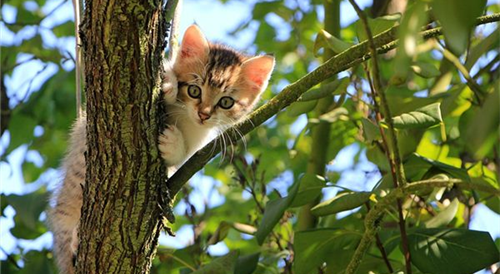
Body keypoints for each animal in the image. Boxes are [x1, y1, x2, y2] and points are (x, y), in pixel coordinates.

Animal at [49, 24, 276, 274]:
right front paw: (168, 82)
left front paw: (172, 143)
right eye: (194, 90)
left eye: (226, 102)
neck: (185, 117)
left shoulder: (196, 143)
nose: (204, 114)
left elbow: (182, 156)